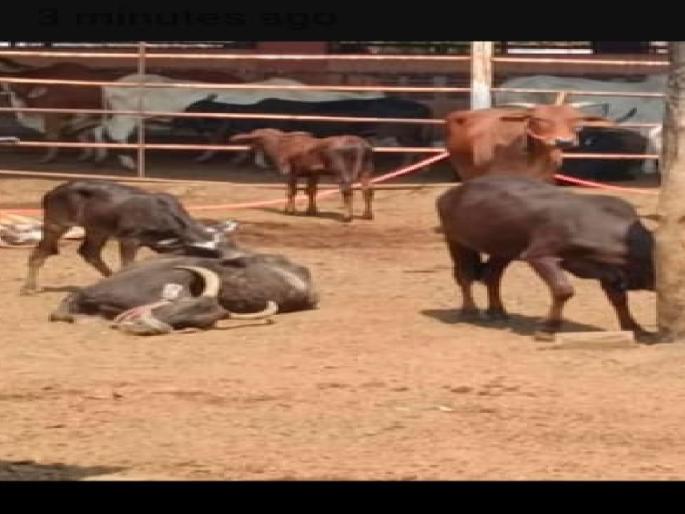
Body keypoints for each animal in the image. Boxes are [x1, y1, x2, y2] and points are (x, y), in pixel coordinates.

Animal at [20, 179, 231, 296]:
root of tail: (51, 193)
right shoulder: (129, 240)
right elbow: (128, 264)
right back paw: (29, 288)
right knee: (39, 253)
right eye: (204, 252)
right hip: (56, 225)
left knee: (90, 253)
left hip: (97, 230)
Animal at [99, 73, 386, 170]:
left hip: (120, 115)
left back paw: (100, 155)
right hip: (126, 116)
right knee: (115, 134)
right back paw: (128, 162)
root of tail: (110, 85)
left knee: (101, 130)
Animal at [229, 128, 374, 222]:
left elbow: (291, 191)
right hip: (366, 170)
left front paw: (290, 211)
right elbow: (311, 191)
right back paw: (367, 215)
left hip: (342, 171)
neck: (280, 145)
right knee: (367, 190)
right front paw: (311, 210)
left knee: (347, 192)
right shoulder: (313, 174)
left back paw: (347, 217)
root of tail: (362, 146)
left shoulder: (290, 172)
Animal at [435, 175, 655, 342]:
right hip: (456, 239)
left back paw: (497, 312)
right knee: (465, 274)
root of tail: (450, 193)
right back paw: (470, 311)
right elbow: (563, 290)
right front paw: (548, 327)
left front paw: (635, 328)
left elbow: (619, 299)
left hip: (504, 249)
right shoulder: (539, 254)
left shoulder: (609, 270)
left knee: (492, 276)